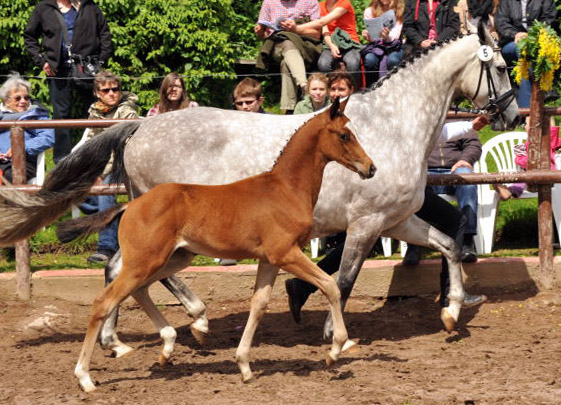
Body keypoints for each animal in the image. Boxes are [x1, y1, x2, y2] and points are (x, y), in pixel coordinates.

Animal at [0, 23, 516, 356]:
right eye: (501, 67)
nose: (510, 112)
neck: (392, 127)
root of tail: (138, 128)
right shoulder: (365, 224)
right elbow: (345, 279)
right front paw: (333, 333)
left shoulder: (396, 220)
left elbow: (448, 245)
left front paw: (452, 312)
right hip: (166, 230)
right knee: (141, 272)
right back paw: (196, 319)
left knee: (115, 269)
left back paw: (115, 340)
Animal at [72, 96, 374, 390]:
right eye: (345, 135)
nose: (371, 168)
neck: (286, 188)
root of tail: (130, 206)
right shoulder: (286, 254)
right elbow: (330, 285)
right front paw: (335, 350)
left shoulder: (269, 260)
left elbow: (259, 303)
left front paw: (244, 366)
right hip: (146, 261)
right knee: (104, 301)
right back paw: (85, 377)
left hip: (174, 258)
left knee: (139, 290)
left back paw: (168, 345)